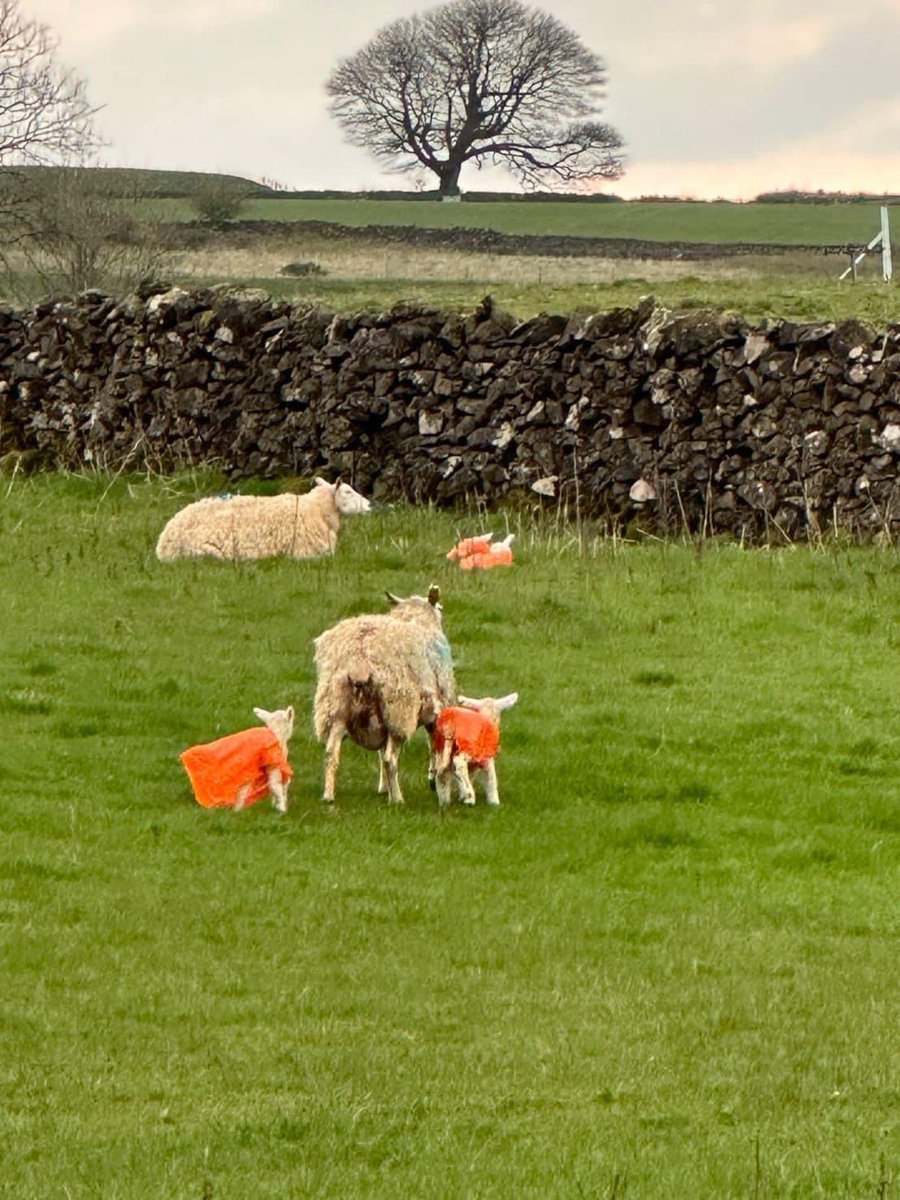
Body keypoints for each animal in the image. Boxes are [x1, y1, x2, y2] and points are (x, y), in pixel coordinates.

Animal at [154, 475, 369, 564]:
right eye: (348, 491)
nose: (369, 505)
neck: (314, 508)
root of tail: (164, 542)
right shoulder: (307, 554)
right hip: (207, 553)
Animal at [316, 583, 458, 801]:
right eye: (440, 608)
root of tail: (360, 659)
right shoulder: (436, 710)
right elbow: (434, 745)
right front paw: (433, 778)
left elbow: (381, 752)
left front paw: (384, 787)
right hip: (397, 710)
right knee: (391, 759)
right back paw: (398, 799)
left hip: (337, 709)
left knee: (331, 754)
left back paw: (329, 795)